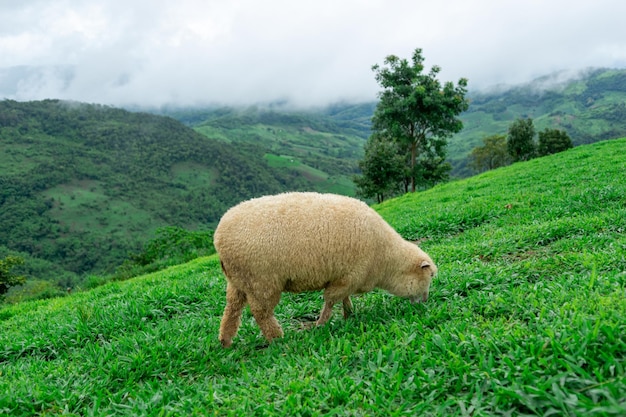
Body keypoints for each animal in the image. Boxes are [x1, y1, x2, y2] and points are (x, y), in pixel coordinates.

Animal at [212, 190, 436, 346]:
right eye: (429, 277)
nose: (425, 303)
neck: (386, 259)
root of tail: (219, 237)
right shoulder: (348, 276)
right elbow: (330, 301)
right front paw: (321, 324)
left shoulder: (346, 277)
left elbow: (344, 299)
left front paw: (349, 314)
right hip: (262, 281)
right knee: (261, 312)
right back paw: (277, 338)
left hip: (239, 280)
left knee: (232, 307)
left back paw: (225, 341)